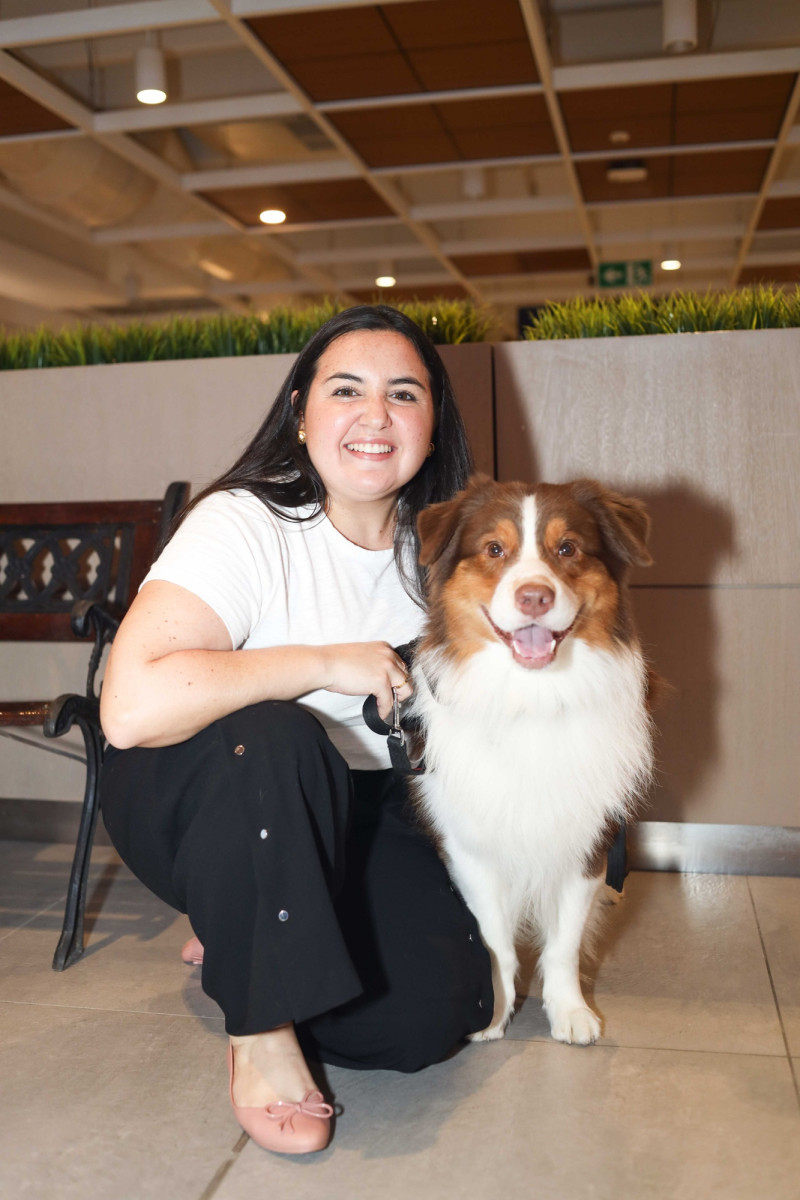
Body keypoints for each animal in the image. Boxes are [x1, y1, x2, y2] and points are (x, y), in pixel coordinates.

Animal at [410, 472, 652, 1046]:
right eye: (494, 550)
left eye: (568, 549)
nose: (535, 596)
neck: (533, 698)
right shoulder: (470, 845)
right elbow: (493, 939)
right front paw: (494, 1013)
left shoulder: (588, 839)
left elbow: (564, 942)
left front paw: (569, 1010)